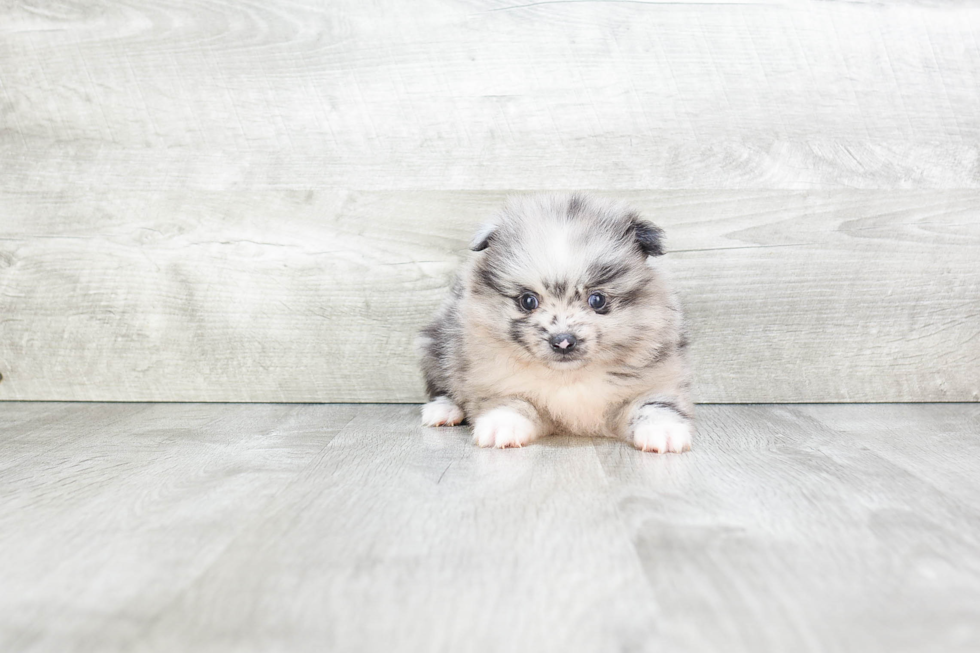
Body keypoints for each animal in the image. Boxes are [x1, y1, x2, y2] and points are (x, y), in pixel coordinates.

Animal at [418, 191, 692, 450]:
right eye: (528, 301)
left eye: (597, 300)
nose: (563, 342)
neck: (568, 378)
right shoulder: (493, 380)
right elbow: (513, 401)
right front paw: (502, 425)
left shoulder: (658, 378)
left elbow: (653, 404)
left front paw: (664, 430)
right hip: (437, 344)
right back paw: (443, 410)